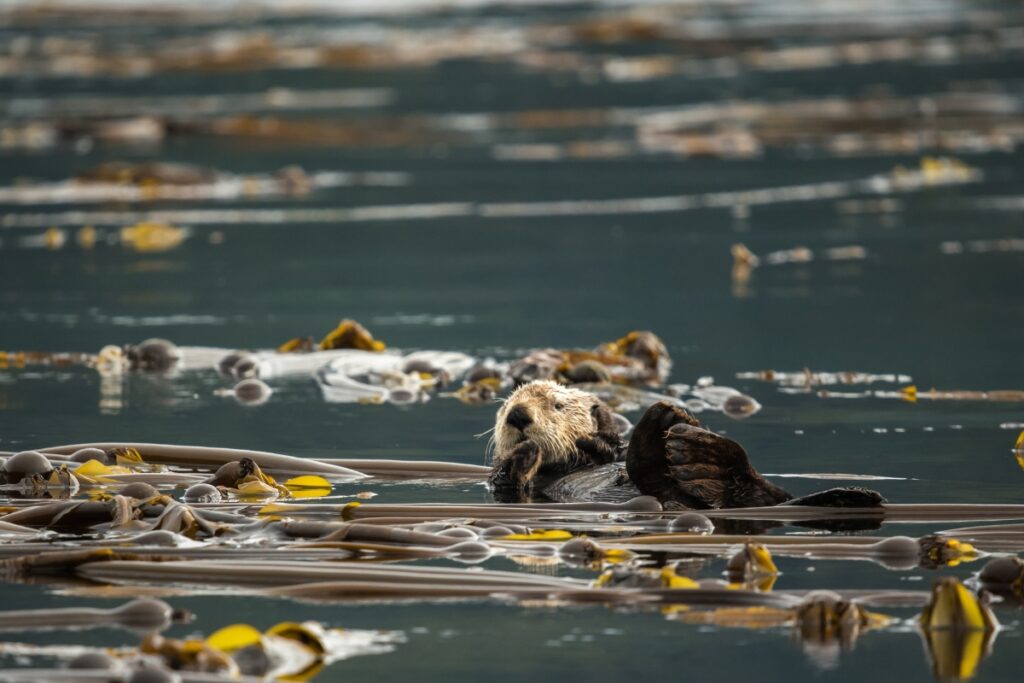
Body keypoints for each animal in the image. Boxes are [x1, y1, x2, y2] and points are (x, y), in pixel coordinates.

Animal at [487, 382, 880, 509]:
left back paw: (679, 428)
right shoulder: (509, 487)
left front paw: (595, 441)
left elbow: (611, 446)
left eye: (557, 405)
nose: (517, 415)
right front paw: (524, 454)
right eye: (504, 409)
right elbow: (506, 480)